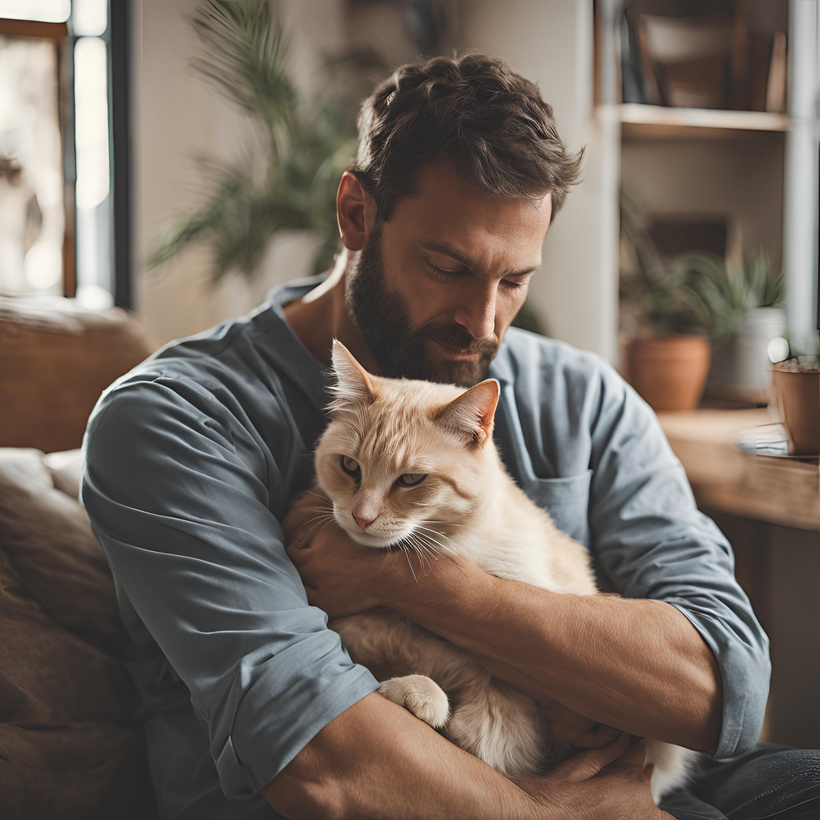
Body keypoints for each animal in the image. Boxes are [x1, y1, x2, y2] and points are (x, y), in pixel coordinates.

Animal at [314, 342, 700, 800]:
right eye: (350, 467)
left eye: (411, 480)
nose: (362, 517)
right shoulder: (366, 629)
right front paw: (418, 694)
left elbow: (489, 708)